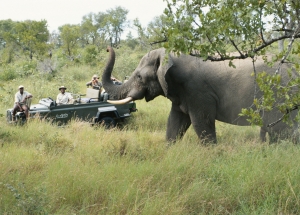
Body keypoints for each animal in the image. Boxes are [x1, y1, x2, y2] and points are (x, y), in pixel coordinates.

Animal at [102, 46, 298, 144]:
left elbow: (201, 123)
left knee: (282, 131)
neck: (170, 53)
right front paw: (170, 151)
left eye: (139, 76)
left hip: (279, 95)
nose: (107, 48)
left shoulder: (197, 91)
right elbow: (175, 122)